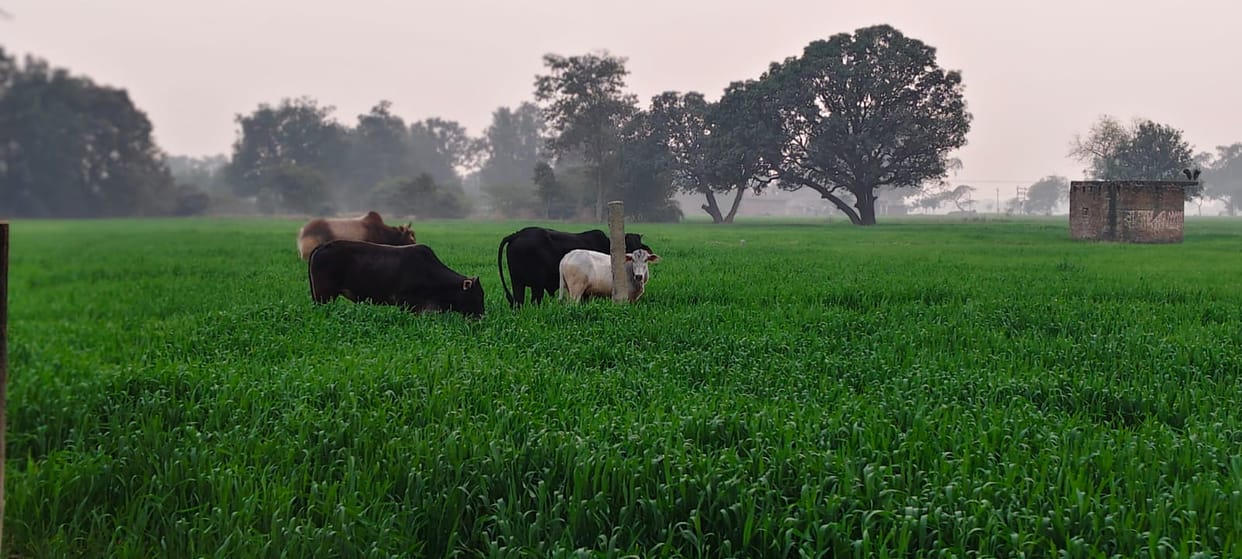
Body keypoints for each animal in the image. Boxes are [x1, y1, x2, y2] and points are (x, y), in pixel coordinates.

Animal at [497, 226, 653, 307]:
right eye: (629, 248)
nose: (638, 275)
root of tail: (517, 235)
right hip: (537, 285)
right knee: (535, 301)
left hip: (518, 283)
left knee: (518, 302)